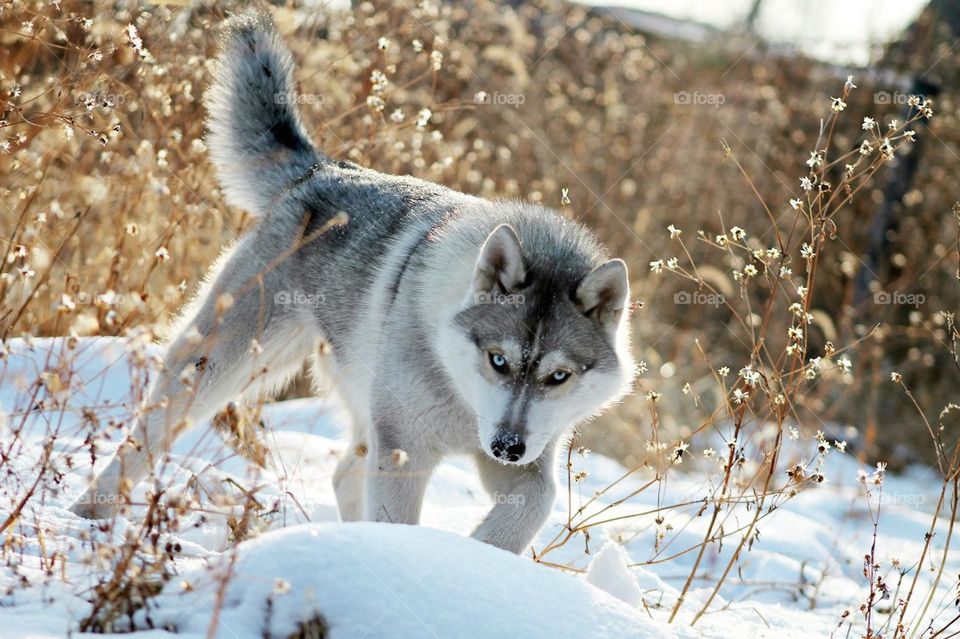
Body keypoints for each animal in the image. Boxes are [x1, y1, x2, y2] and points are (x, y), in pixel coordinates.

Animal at [71, 15, 632, 556]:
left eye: (558, 376)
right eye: (499, 360)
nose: (506, 447)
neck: (459, 392)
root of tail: (321, 168)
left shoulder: (521, 458)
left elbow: (536, 504)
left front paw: (483, 557)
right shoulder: (403, 449)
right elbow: (401, 524)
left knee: (343, 474)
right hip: (221, 368)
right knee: (147, 437)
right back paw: (88, 514)